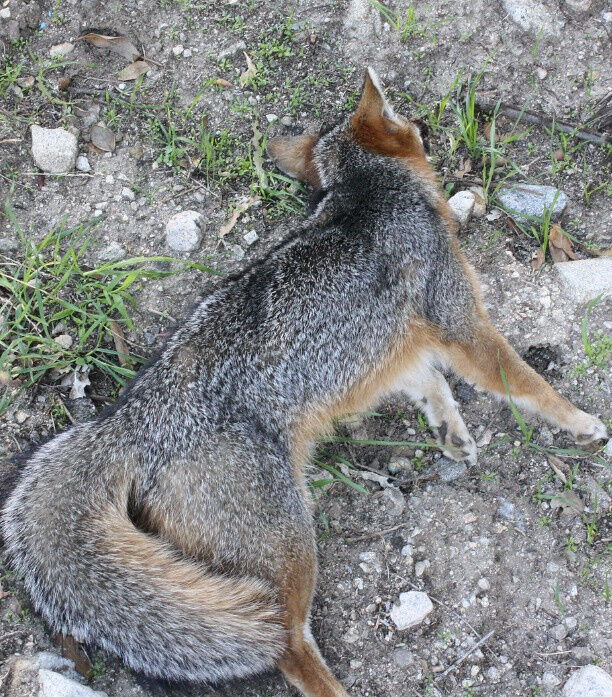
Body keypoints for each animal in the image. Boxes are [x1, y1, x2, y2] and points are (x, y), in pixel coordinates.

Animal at [1, 68, 607, 697]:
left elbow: (427, 382)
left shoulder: (393, 343)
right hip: (291, 548)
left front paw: (451, 430)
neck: (368, 192)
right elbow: (521, 381)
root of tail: (127, 417)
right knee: (286, 644)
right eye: (401, 116)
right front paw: (579, 422)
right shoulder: (455, 314)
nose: (430, 120)